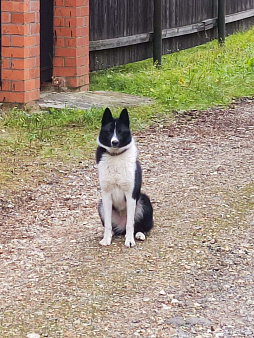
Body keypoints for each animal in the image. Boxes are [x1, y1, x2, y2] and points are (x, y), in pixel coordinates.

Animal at [95, 108, 153, 248]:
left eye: (120, 132)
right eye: (109, 131)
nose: (114, 142)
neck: (116, 156)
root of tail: (121, 225)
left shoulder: (130, 195)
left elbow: (130, 223)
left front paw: (129, 240)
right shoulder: (106, 195)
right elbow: (108, 224)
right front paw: (106, 239)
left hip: (144, 200)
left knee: (139, 226)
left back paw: (139, 234)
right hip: (101, 205)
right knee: (113, 227)